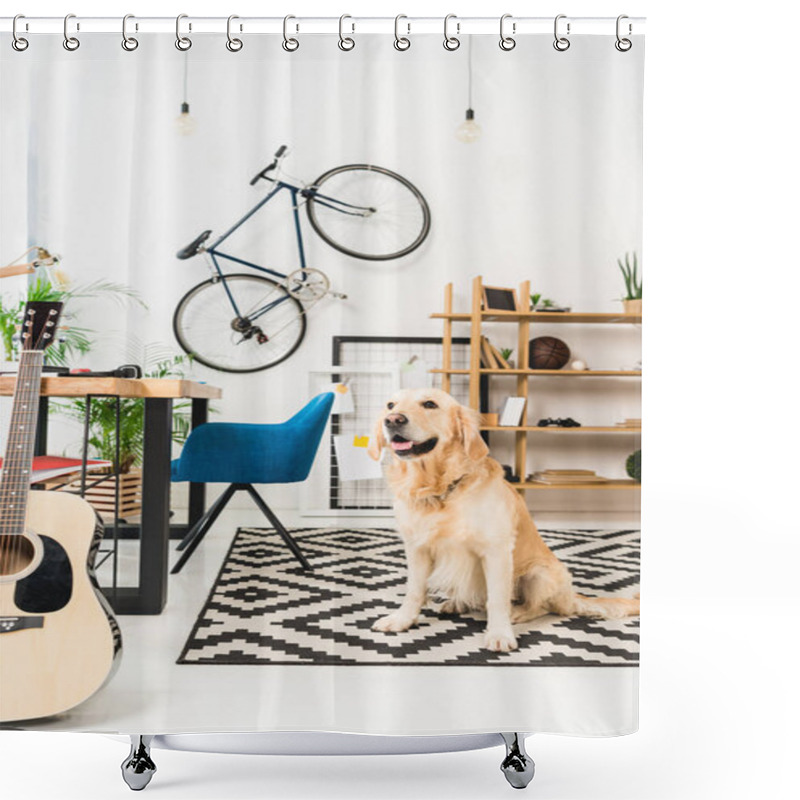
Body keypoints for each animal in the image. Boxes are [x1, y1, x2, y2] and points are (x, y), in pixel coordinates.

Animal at [368, 390, 636, 652]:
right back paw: (456, 604)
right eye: (390, 405)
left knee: (541, 607)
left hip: (539, 573)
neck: (441, 490)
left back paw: (517, 612)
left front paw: (499, 634)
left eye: (429, 404)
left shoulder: (496, 551)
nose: (392, 420)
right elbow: (414, 591)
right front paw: (402, 620)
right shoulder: (417, 548)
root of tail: (571, 596)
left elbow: (497, 599)